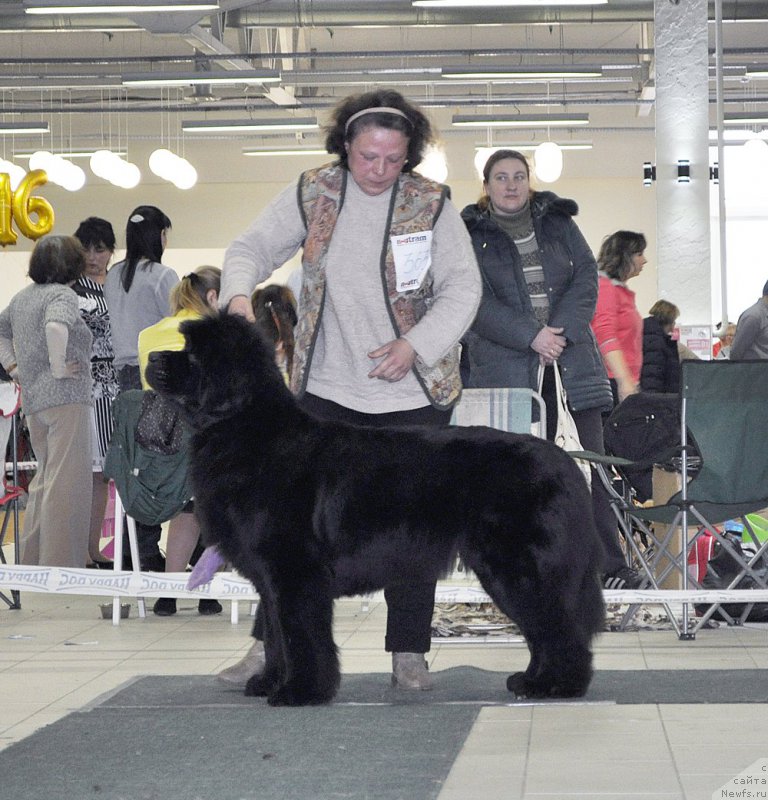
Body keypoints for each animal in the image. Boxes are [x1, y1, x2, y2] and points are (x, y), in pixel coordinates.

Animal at [147, 312, 608, 708]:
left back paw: (558, 685)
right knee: (543, 629)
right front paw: (269, 682)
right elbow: (277, 633)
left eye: (191, 354)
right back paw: (531, 680)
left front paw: (301, 691)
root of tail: (563, 461)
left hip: (518, 566)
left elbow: (301, 636)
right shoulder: (272, 577)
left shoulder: (295, 572)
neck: (247, 430)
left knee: (558, 626)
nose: (151, 357)